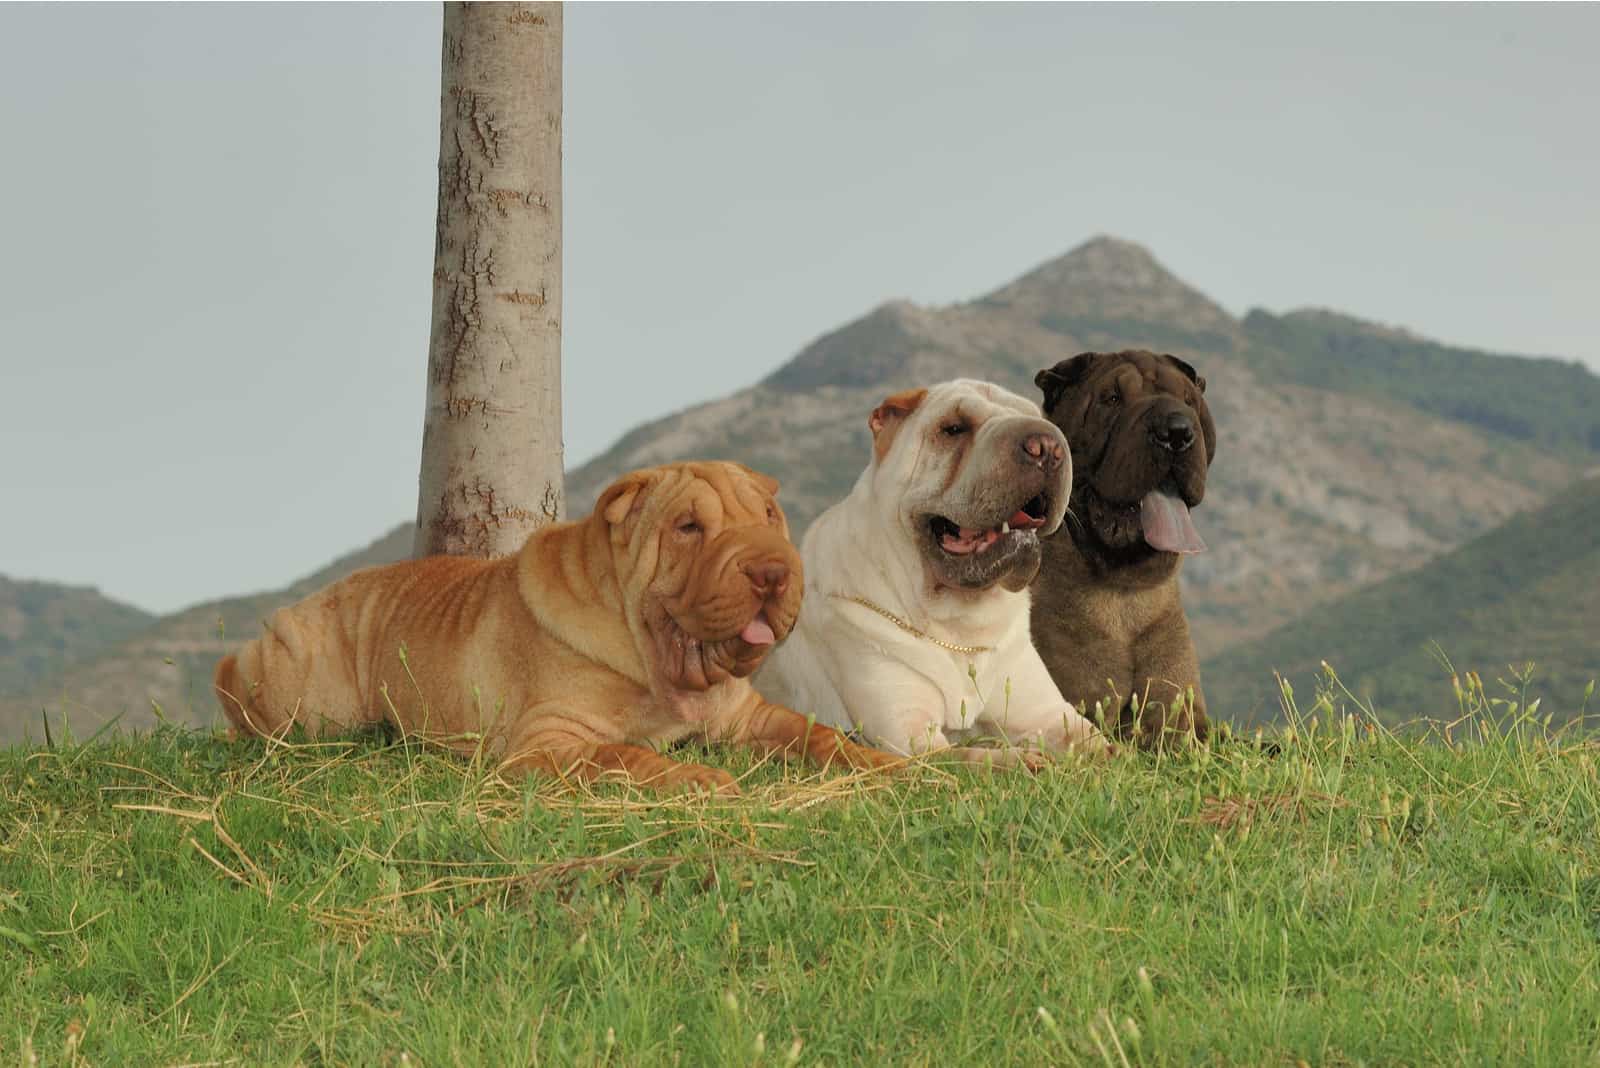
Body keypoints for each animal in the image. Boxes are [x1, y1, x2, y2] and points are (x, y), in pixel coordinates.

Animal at [212, 460, 902, 793]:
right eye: (688, 527)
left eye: (768, 516)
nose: (773, 571)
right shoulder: (550, 741)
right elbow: (625, 756)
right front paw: (699, 777)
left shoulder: (748, 717)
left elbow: (819, 735)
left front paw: (889, 765)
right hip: (304, 699)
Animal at [752, 378, 1107, 764]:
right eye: (953, 428)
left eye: (1039, 418)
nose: (1047, 446)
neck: (959, 627)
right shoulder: (910, 735)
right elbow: (969, 756)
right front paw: (1020, 759)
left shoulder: (1049, 714)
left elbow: (1103, 746)